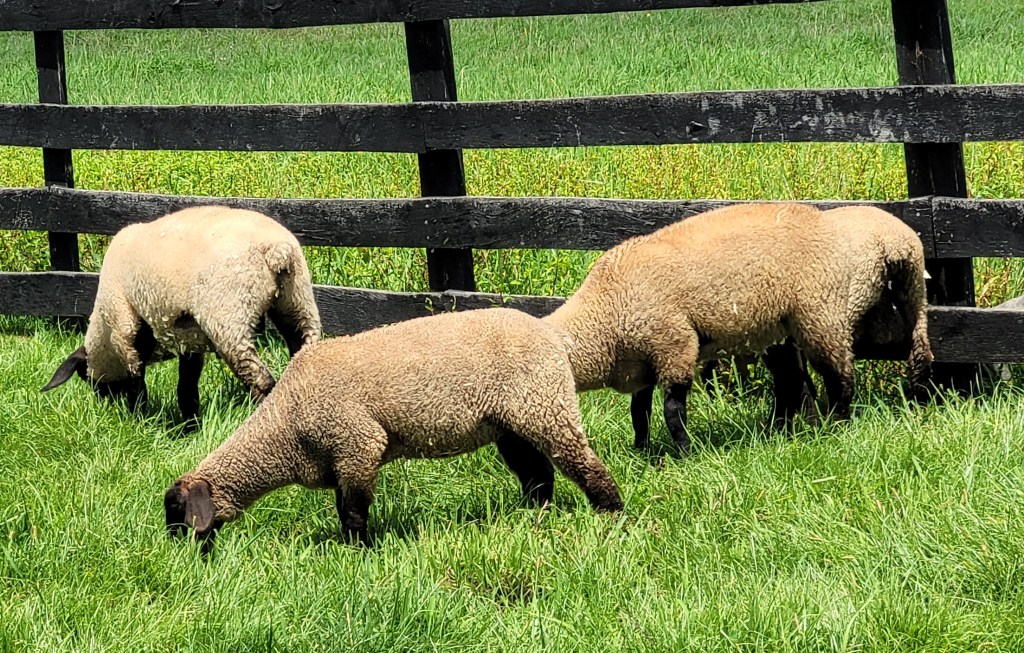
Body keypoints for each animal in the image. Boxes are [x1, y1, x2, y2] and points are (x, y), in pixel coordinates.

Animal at [41, 206, 321, 427]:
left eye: (89, 380)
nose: (107, 408)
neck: (104, 332)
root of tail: (276, 250)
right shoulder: (189, 340)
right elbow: (186, 388)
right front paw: (189, 427)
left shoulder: (124, 328)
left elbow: (137, 383)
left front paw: (139, 420)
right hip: (297, 301)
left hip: (229, 317)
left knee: (261, 380)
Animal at [164, 307, 624, 545]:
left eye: (177, 512)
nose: (176, 553)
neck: (284, 428)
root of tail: (553, 334)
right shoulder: (342, 458)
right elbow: (344, 505)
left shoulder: (358, 444)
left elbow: (353, 509)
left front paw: (357, 551)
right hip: (509, 422)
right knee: (537, 473)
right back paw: (533, 515)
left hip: (545, 404)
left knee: (581, 462)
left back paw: (611, 512)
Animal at [544, 202, 932, 454]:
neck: (605, 312)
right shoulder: (646, 360)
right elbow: (639, 411)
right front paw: (641, 451)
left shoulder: (675, 345)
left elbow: (672, 409)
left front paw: (685, 454)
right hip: (779, 326)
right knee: (790, 381)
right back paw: (779, 430)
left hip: (821, 314)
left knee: (839, 373)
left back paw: (835, 425)